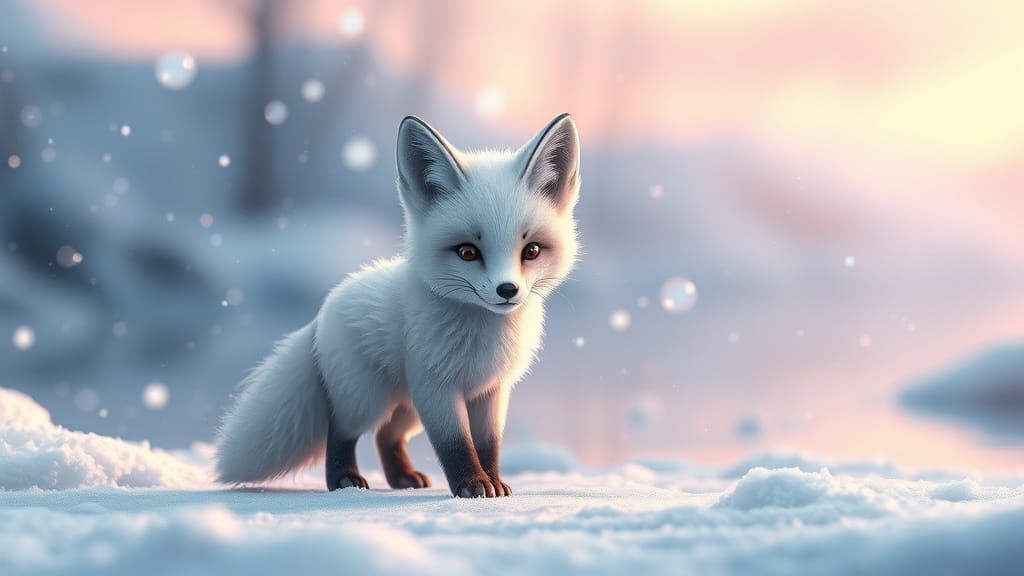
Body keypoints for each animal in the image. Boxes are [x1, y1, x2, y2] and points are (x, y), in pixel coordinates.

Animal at [215, 113, 581, 497]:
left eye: (531, 250)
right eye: (467, 252)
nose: (507, 290)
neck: (483, 341)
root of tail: (321, 313)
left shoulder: (491, 391)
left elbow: (488, 445)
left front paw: (493, 483)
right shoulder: (436, 387)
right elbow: (455, 444)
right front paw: (471, 485)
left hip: (407, 408)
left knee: (385, 436)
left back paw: (403, 479)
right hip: (368, 400)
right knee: (340, 429)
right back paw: (344, 480)